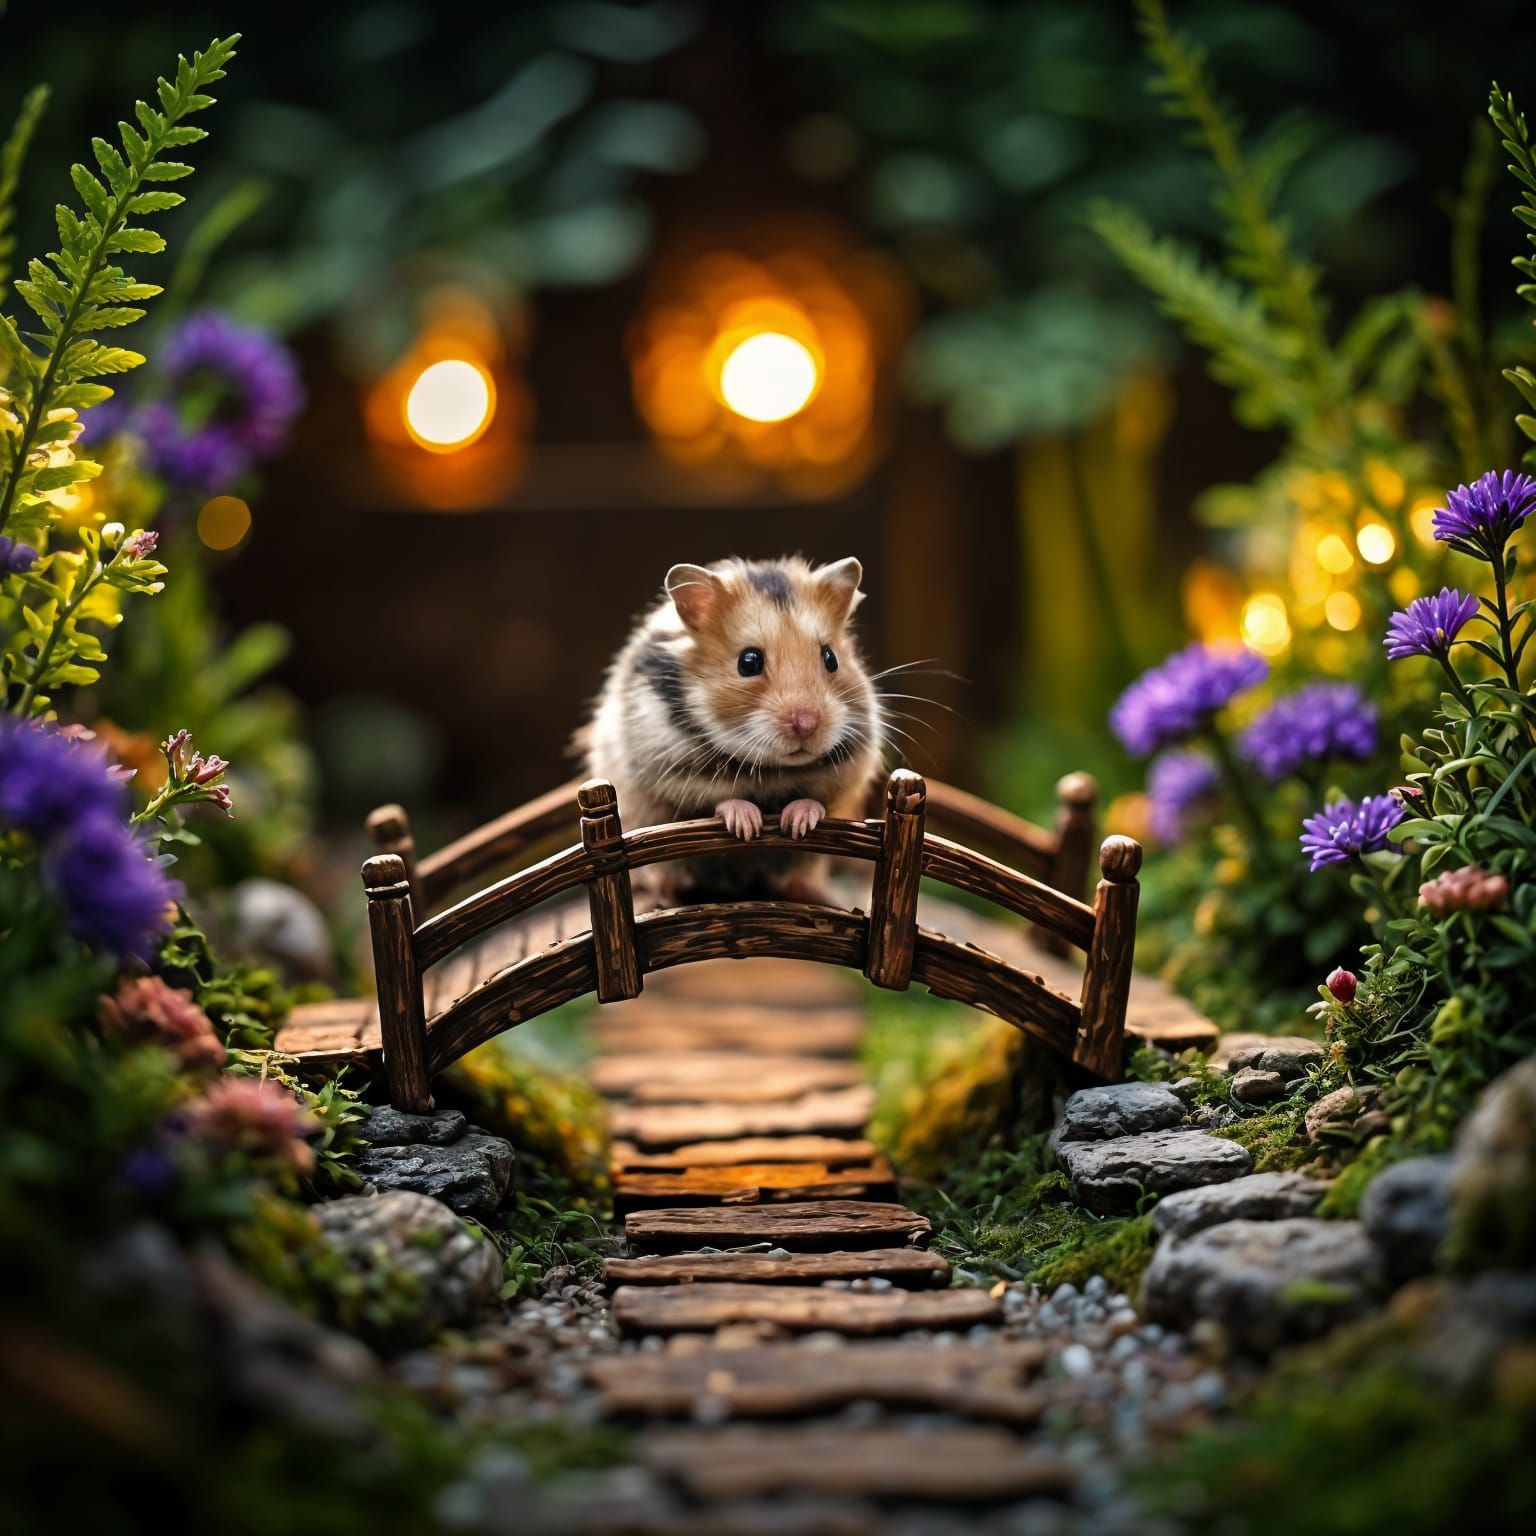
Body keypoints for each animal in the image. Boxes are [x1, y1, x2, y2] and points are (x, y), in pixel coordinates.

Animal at [580, 555, 885, 900]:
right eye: (748, 662)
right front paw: (748, 826)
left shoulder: (850, 771)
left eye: (830, 658)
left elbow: (817, 801)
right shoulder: (669, 773)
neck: (770, 772)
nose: (807, 725)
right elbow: (713, 802)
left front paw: (798, 822)